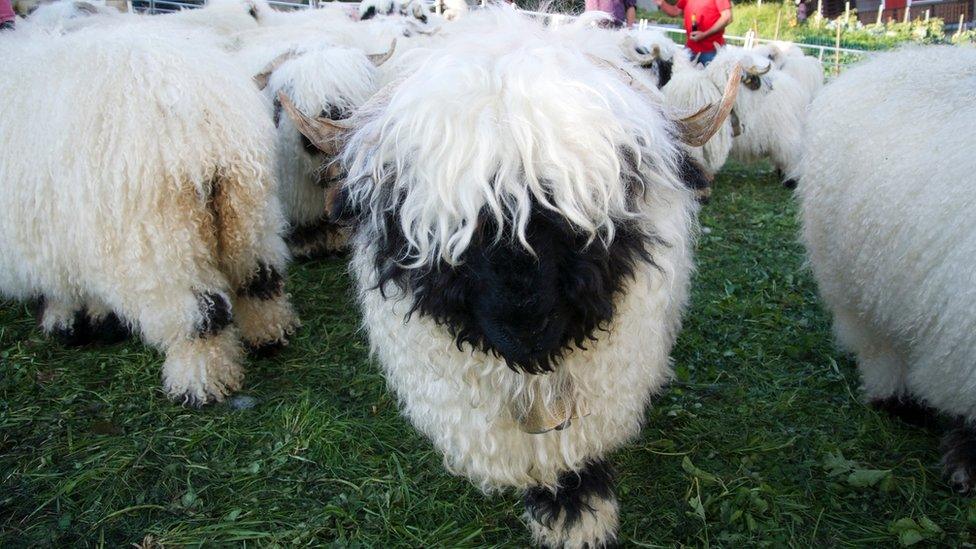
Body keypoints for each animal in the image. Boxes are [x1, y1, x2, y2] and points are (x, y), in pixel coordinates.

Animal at [0, 23, 298, 404]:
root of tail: (205, 130)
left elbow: (58, 288)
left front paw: (64, 321)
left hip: (161, 241)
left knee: (199, 317)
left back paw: (198, 384)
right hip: (249, 212)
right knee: (259, 278)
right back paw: (269, 335)